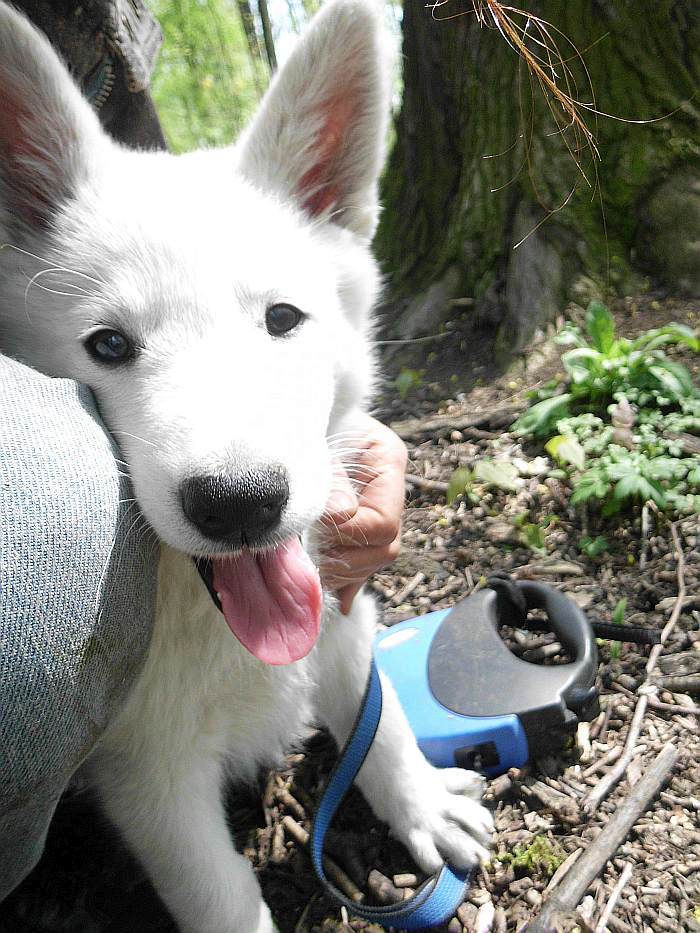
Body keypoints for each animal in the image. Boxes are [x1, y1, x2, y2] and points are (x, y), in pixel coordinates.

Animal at [0, 0, 492, 928]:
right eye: (108, 346)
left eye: (282, 318)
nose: (240, 502)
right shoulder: (152, 779)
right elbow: (223, 896)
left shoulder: (342, 616)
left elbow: (378, 718)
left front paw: (417, 801)